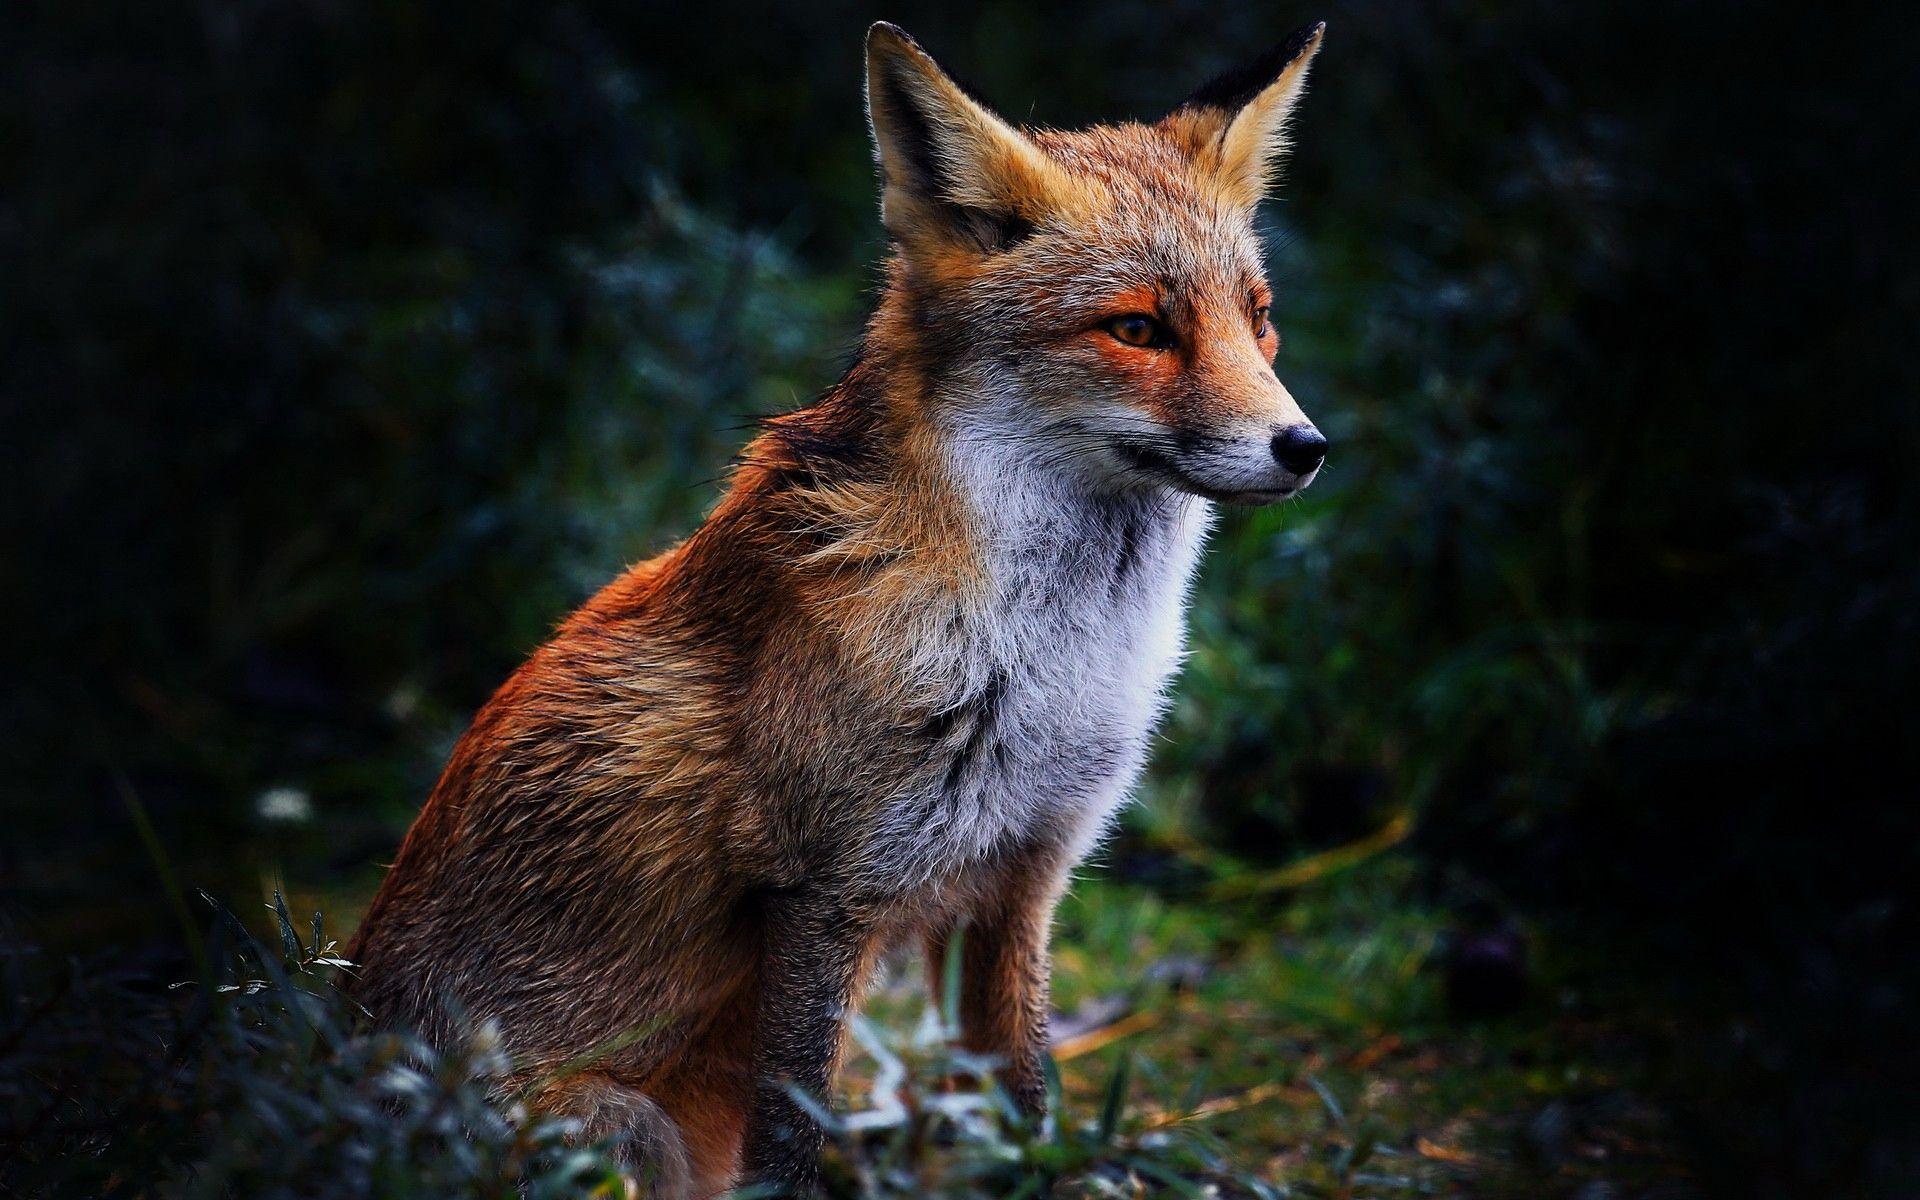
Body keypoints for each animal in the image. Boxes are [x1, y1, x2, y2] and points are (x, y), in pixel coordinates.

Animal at [347, 19, 1329, 1198]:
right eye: (1137, 329)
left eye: (1260, 320)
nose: (1305, 446)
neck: (1052, 660)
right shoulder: (826, 891)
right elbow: (792, 1133)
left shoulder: (1020, 880)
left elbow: (1028, 1097)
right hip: (621, 1133)